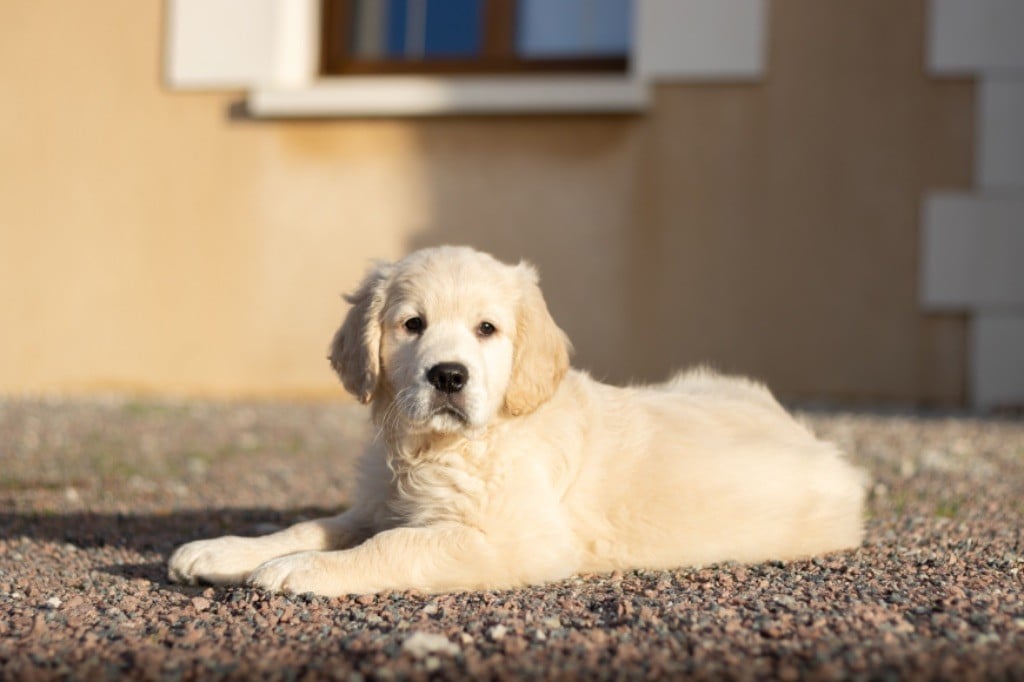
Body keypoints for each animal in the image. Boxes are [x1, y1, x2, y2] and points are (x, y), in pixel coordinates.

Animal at [167, 245, 864, 593]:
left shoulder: (516, 538)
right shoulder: (380, 501)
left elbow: (397, 545)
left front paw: (300, 571)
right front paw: (228, 550)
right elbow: (314, 525)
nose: (449, 376)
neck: (441, 446)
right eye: (412, 324)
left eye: (487, 329)